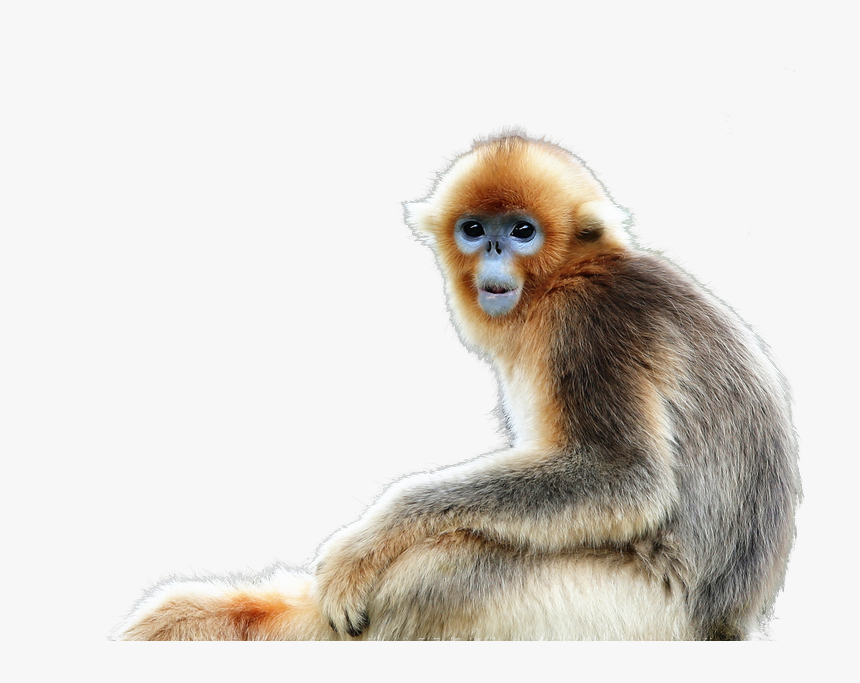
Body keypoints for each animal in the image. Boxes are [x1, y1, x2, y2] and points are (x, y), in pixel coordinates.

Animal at [114, 133, 800, 641]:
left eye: (522, 231)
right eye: (474, 229)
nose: (493, 250)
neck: (568, 277)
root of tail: (730, 624)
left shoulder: (585, 326)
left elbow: (621, 477)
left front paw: (368, 542)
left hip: (624, 611)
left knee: (439, 567)